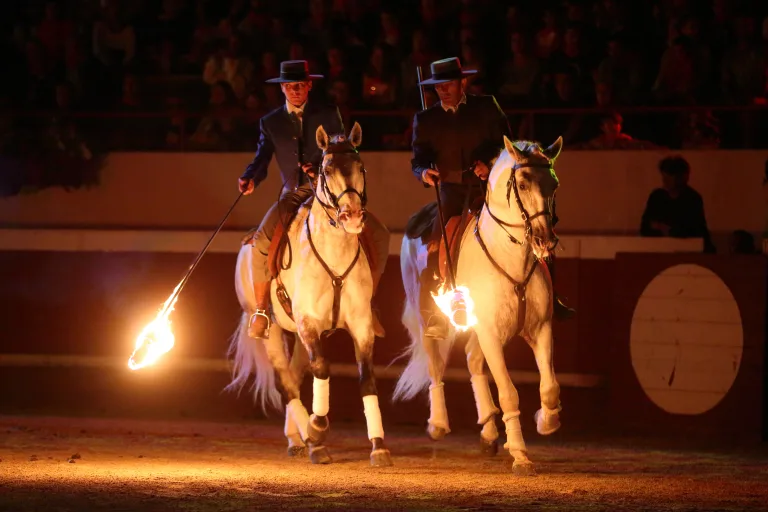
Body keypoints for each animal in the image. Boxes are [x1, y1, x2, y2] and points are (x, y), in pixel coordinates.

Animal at [224, 124, 390, 468]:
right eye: (326, 170)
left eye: (361, 167)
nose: (352, 216)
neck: (335, 255)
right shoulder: (309, 322)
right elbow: (323, 369)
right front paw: (317, 427)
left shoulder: (361, 325)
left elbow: (366, 378)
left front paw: (379, 447)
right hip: (272, 330)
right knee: (286, 382)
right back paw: (310, 439)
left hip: (300, 337)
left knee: (296, 374)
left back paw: (300, 440)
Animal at [396, 136, 564, 476]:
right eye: (522, 183)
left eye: (553, 184)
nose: (545, 240)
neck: (512, 260)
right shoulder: (490, 334)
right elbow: (509, 393)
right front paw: (521, 455)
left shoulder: (540, 330)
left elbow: (549, 386)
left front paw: (546, 421)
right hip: (426, 317)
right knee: (435, 363)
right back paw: (438, 424)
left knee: (474, 362)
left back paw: (488, 429)